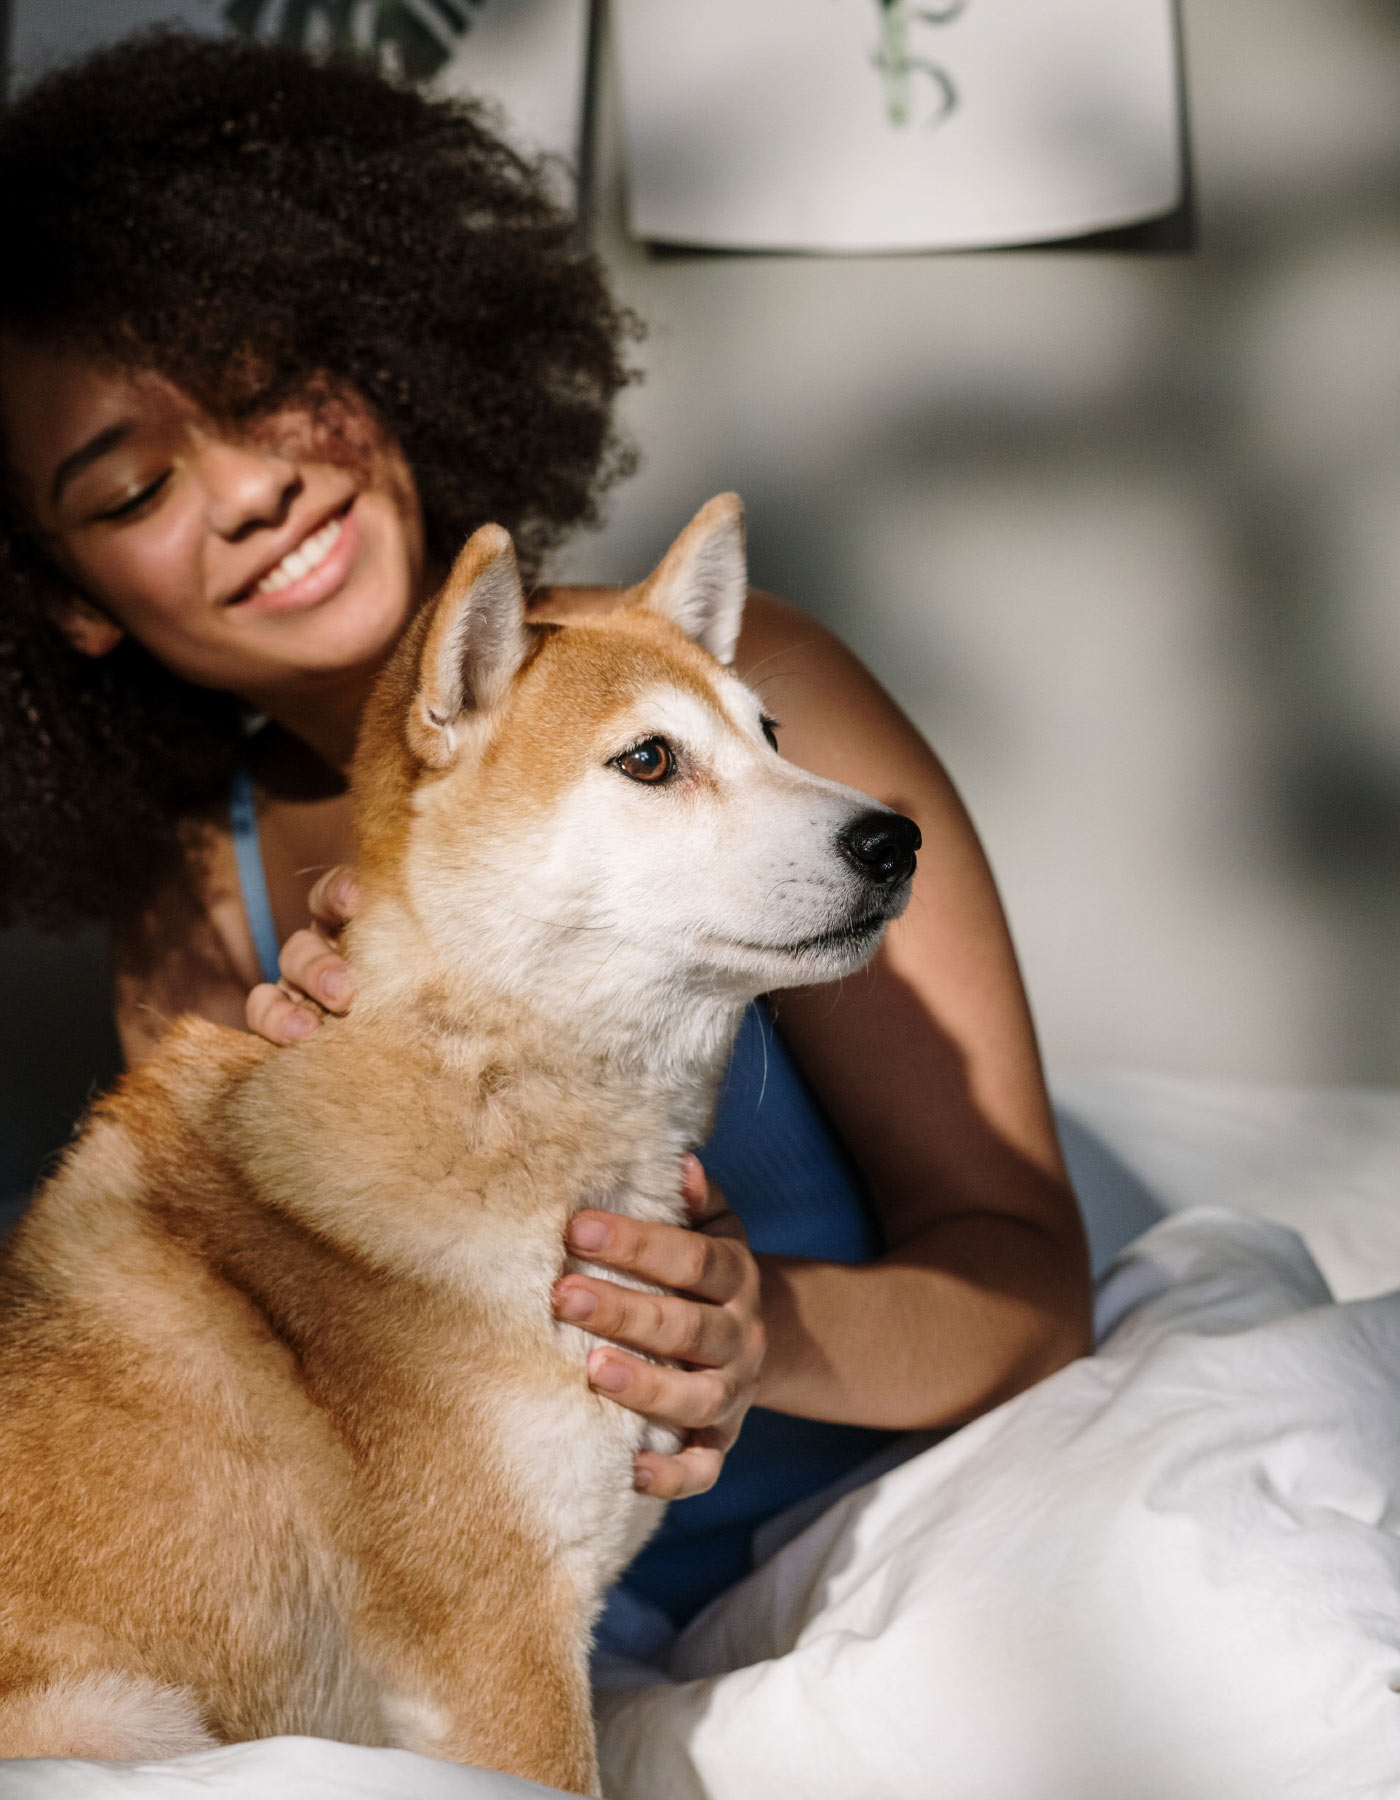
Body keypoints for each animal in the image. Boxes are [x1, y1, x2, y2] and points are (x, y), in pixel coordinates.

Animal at [0, 495, 919, 1793]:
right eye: (648, 760)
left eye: (772, 732)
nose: (894, 839)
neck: (482, 1094)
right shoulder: (502, 1655)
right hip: (136, 1724)